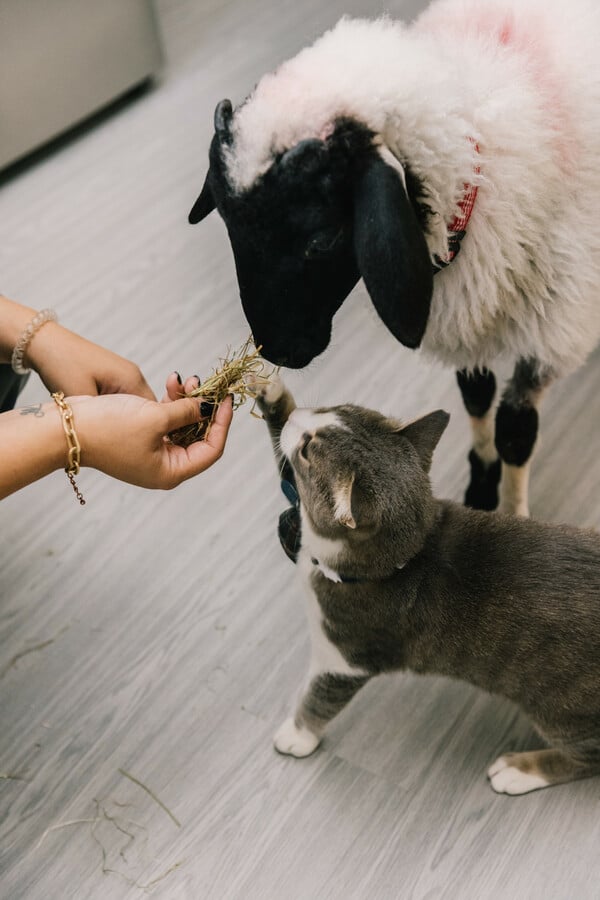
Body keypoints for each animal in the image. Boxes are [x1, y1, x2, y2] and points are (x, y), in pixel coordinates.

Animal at [188, 0, 600, 516]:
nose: (276, 351)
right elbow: (476, 396)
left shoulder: (551, 333)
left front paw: (510, 511)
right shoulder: (469, 320)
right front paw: (481, 480)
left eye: (321, 240)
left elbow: (516, 434)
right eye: (228, 223)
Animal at [253, 372, 600, 796]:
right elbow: (286, 478)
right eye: (332, 409)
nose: (297, 417)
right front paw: (272, 396)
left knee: (590, 757)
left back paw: (522, 770)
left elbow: (321, 698)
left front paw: (297, 735)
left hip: (563, 708)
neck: (407, 552)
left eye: (307, 449)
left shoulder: (347, 657)